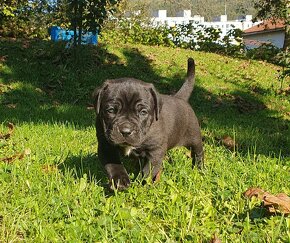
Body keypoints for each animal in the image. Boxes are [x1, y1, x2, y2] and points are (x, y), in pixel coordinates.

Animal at [93, 58, 204, 190]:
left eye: (143, 112)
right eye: (110, 110)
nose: (126, 131)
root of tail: (180, 99)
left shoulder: (155, 150)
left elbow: (148, 171)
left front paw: (140, 185)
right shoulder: (105, 145)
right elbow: (113, 165)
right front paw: (120, 180)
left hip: (194, 137)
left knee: (198, 153)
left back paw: (200, 169)